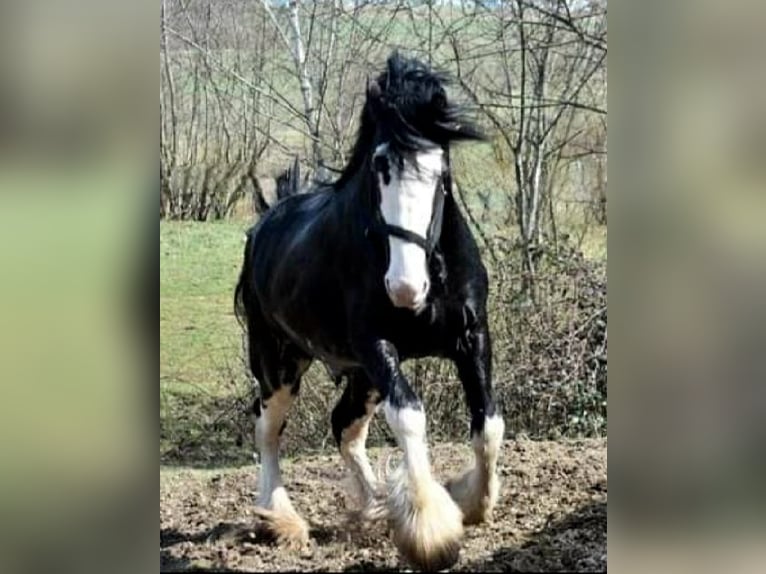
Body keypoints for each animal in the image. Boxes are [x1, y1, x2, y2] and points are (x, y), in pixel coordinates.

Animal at [237, 53, 508, 572]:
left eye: (440, 169)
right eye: (380, 166)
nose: (405, 288)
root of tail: (266, 222)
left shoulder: (472, 337)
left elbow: (488, 425)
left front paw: (471, 502)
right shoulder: (377, 345)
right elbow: (410, 418)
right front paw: (430, 533)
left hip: (359, 375)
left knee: (344, 427)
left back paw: (375, 506)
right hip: (279, 360)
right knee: (267, 430)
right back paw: (281, 519)